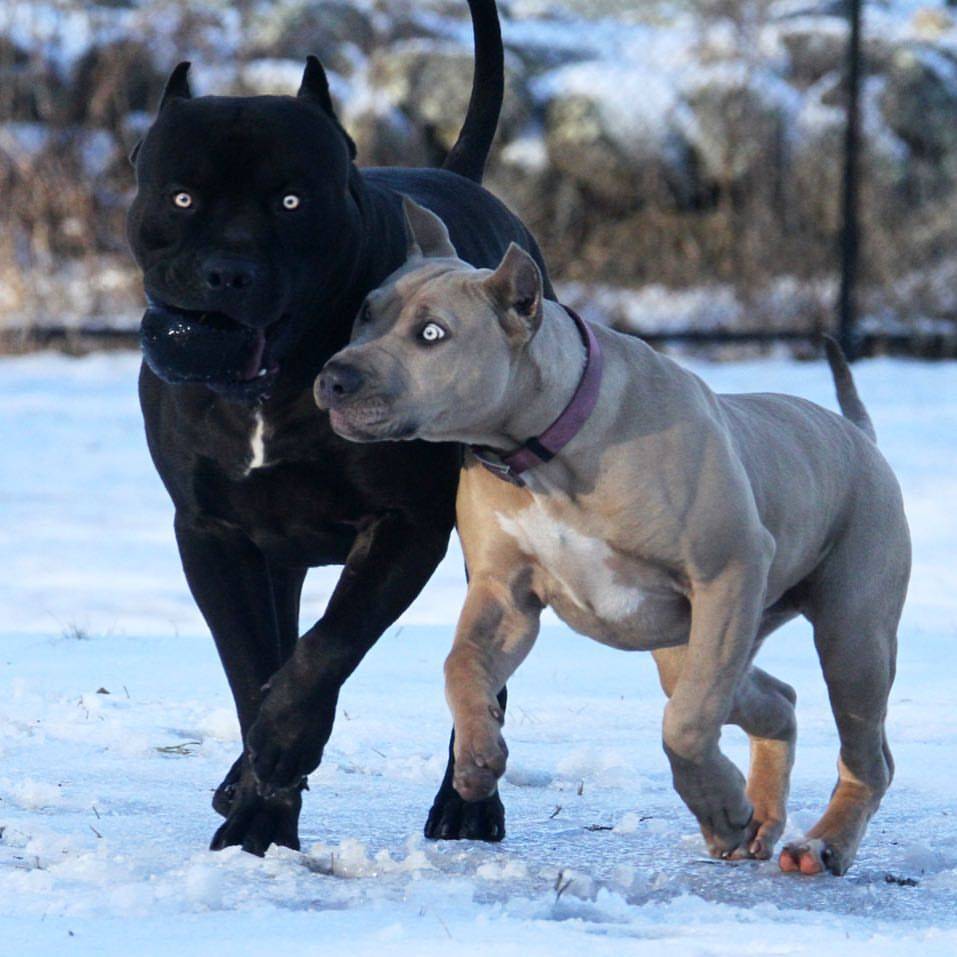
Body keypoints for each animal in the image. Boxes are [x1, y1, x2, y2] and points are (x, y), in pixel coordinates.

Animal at [125, 0, 552, 852]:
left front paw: (281, 752)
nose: (228, 270)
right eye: (181, 197)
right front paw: (258, 811)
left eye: (292, 201)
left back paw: (467, 804)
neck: (277, 383)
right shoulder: (212, 532)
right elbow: (252, 661)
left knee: (478, 671)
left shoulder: (404, 524)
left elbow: (326, 649)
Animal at [316, 196, 912, 872]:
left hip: (848, 637)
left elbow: (684, 727)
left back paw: (821, 843)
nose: (334, 378)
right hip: (699, 643)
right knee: (774, 699)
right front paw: (476, 757)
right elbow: (461, 663)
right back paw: (760, 818)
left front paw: (720, 808)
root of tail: (856, 435)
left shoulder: (728, 570)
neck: (544, 449)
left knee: (861, 754)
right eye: (366, 312)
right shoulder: (504, 595)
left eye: (432, 334)